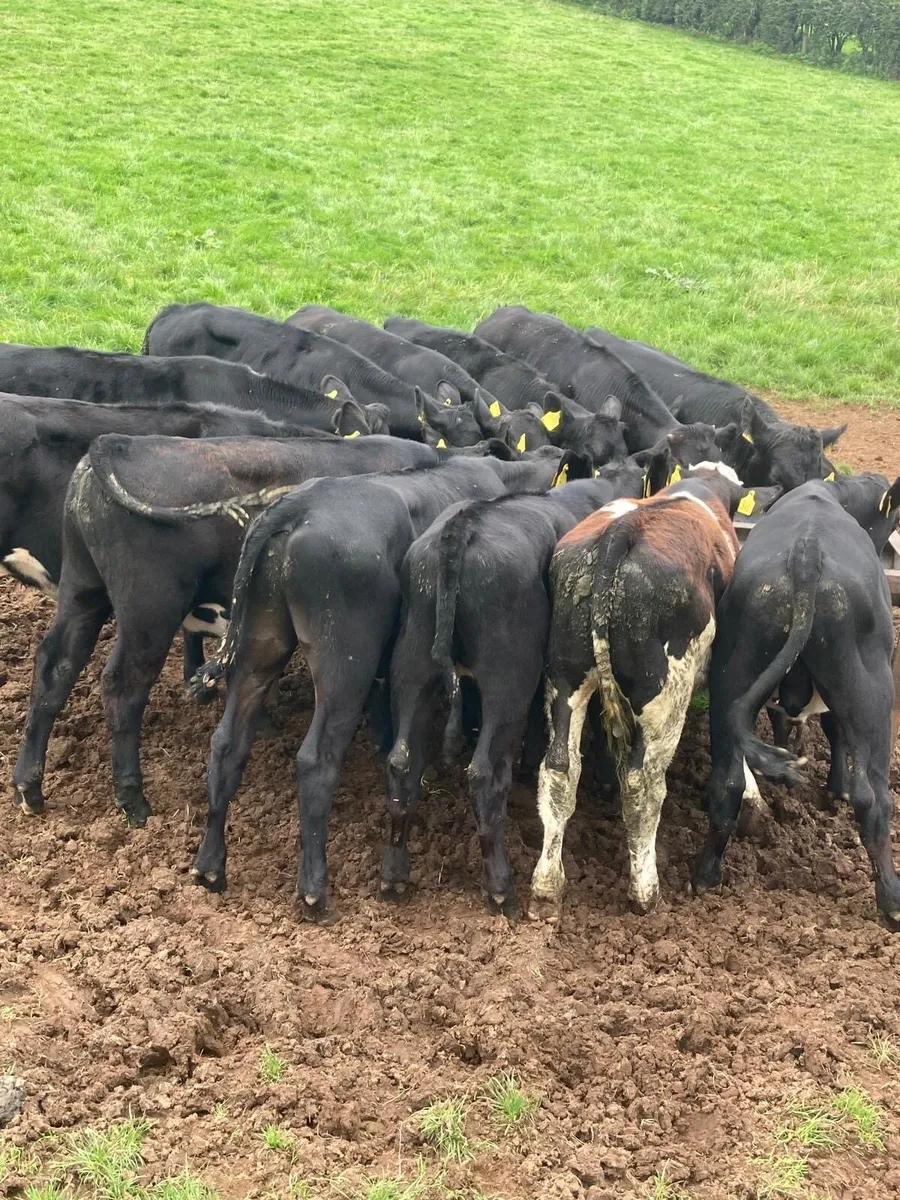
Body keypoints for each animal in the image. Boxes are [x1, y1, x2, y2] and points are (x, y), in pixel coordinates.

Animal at [11, 434, 443, 826]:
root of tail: (118, 443)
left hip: (82, 588)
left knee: (55, 666)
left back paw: (28, 786)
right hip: (149, 612)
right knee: (122, 687)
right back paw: (132, 798)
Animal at [187, 451, 582, 912]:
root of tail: (296, 506)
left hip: (258, 647)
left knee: (227, 744)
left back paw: (210, 867)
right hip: (345, 666)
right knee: (316, 760)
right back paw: (315, 890)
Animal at [384, 457, 646, 914]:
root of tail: (460, 530)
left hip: (412, 665)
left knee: (403, 761)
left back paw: (395, 875)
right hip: (508, 680)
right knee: (486, 775)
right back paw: (501, 887)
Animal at [529, 465, 781, 919]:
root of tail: (621, 534)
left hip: (565, 679)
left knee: (559, 771)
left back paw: (547, 885)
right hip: (666, 697)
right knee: (642, 786)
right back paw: (646, 892)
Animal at [692, 473, 900, 928]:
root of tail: (807, 554)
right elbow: (833, 732)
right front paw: (835, 787)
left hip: (732, 675)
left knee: (728, 781)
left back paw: (706, 874)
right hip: (872, 696)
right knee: (873, 800)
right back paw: (892, 899)